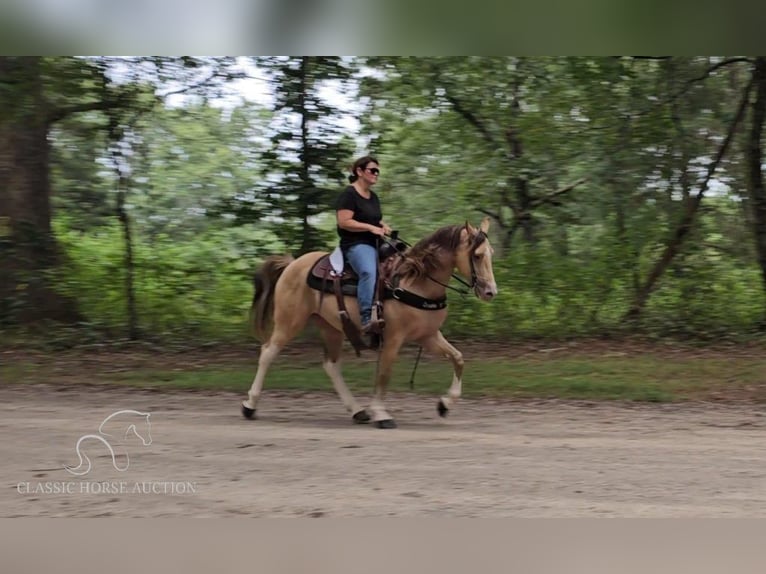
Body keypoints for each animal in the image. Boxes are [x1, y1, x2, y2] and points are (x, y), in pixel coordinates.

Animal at [243, 218, 500, 430]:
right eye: (477, 255)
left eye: (491, 253)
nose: (490, 292)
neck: (414, 280)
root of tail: (293, 264)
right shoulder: (393, 338)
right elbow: (384, 373)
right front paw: (381, 413)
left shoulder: (428, 335)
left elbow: (458, 358)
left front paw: (444, 404)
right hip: (289, 322)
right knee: (268, 352)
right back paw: (249, 405)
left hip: (331, 327)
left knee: (331, 366)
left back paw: (357, 411)